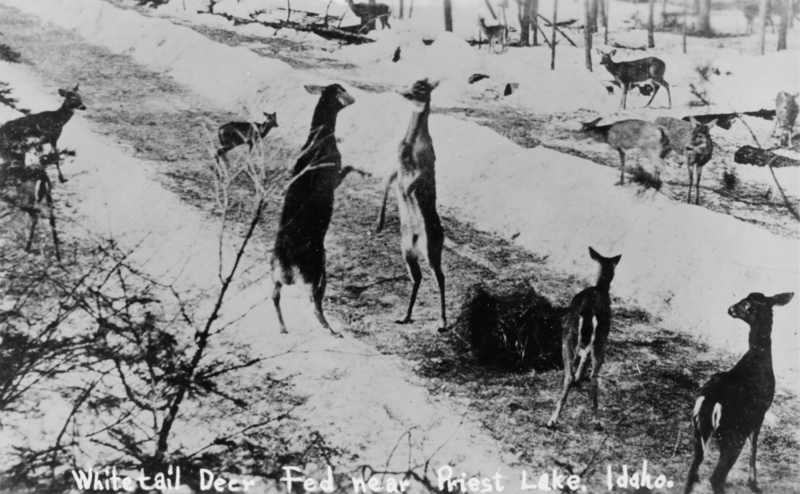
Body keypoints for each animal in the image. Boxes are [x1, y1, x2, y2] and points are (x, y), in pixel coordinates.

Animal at [271, 84, 361, 337]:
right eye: (343, 90)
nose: (355, 99)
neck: (319, 141)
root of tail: (287, 264)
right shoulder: (335, 176)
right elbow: (348, 167)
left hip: (275, 274)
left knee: (275, 297)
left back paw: (282, 327)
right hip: (318, 273)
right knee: (315, 305)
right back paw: (332, 331)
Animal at [375, 79, 447, 333]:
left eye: (423, 87)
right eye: (415, 82)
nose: (404, 91)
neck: (411, 144)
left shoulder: (425, 169)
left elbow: (410, 187)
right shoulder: (398, 167)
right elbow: (387, 181)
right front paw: (378, 223)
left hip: (431, 249)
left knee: (440, 277)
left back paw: (442, 322)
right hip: (407, 251)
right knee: (418, 278)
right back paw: (405, 316)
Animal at [546, 247, 621, 429]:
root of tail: (588, 312)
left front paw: (579, 378)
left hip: (569, 339)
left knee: (569, 375)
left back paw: (552, 419)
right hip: (600, 340)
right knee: (594, 377)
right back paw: (596, 421)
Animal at [684, 292, 794, 494]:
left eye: (746, 303)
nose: (730, 309)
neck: (759, 358)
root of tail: (711, 402)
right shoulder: (760, 413)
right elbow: (754, 446)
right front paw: (753, 483)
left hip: (700, 428)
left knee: (693, 471)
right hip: (733, 434)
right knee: (716, 477)